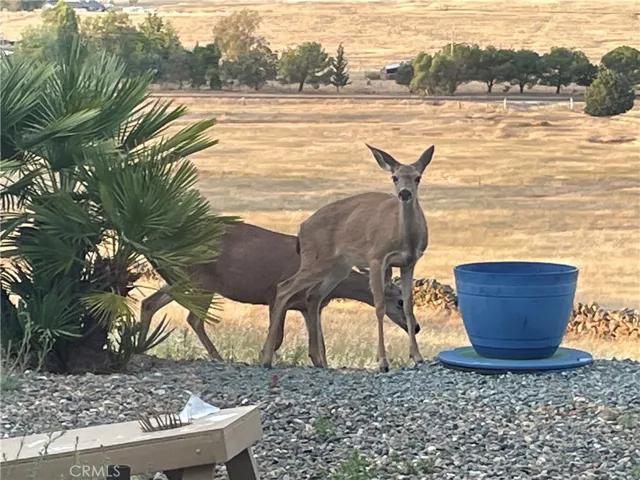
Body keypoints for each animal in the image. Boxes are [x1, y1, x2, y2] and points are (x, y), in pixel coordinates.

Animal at [138, 221, 418, 362]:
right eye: (400, 300)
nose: (415, 327)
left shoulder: (307, 305)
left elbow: (319, 347)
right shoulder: (275, 295)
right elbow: (279, 339)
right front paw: (262, 357)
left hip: (186, 278)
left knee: (150, 303)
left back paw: (141, 346)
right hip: (201, 279)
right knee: (193, 318)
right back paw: (218, 357)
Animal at [259, 144, 435, 372]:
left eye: (418, 177)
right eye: (394, 177)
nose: (404, 193)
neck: (403, 237)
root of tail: (301, 228)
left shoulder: (409, 263)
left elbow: (409, 306)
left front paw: (417, 357)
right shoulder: (376, 258)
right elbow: (379, 306)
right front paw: (382, 362)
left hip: (338, 268)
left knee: (313, 295)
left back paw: (315, 360)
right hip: (317, 259)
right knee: (284, 288)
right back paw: (266, 358)